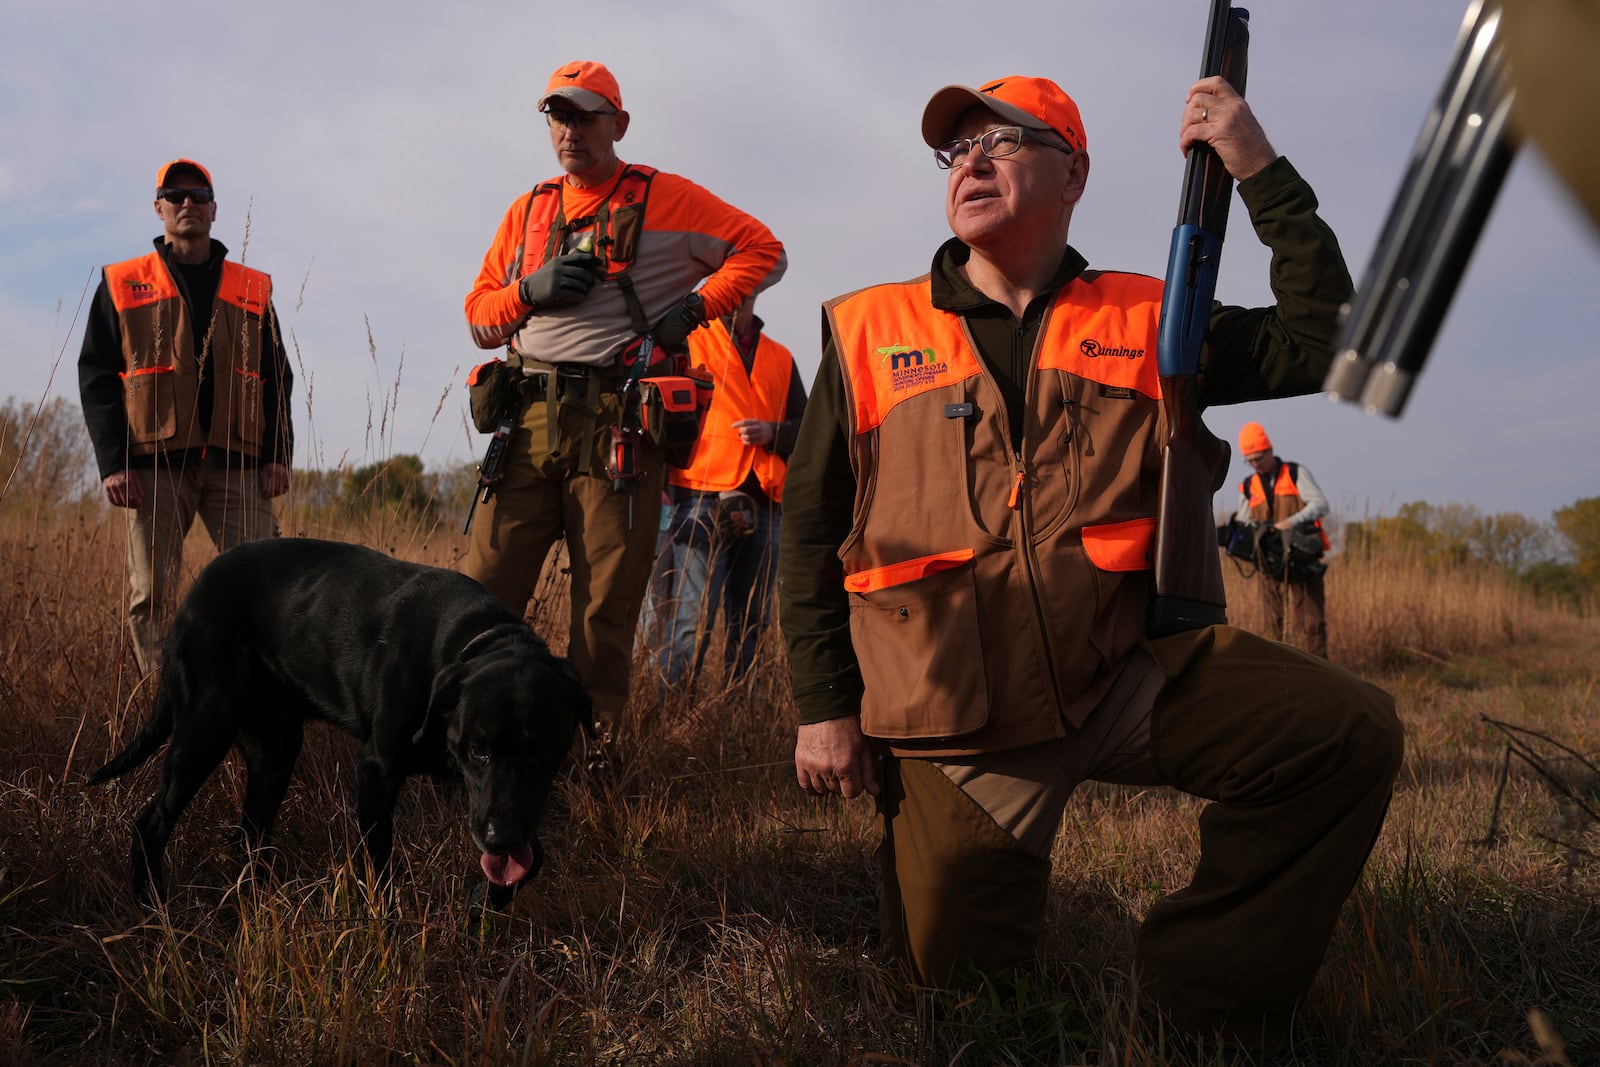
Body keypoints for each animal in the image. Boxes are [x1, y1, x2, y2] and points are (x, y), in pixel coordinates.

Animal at [87, 537, 592, 908]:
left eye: (544, 752)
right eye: (478, 751)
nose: (499, 839)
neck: (468, 641)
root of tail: (189, 599)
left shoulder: (504, 805)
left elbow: (533, 856)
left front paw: (489, 900)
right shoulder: (377, 770)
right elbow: (381, 862)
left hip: (275, 750)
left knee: (248, 834)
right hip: (204, 730)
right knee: (151, 823)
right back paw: (152, 905)